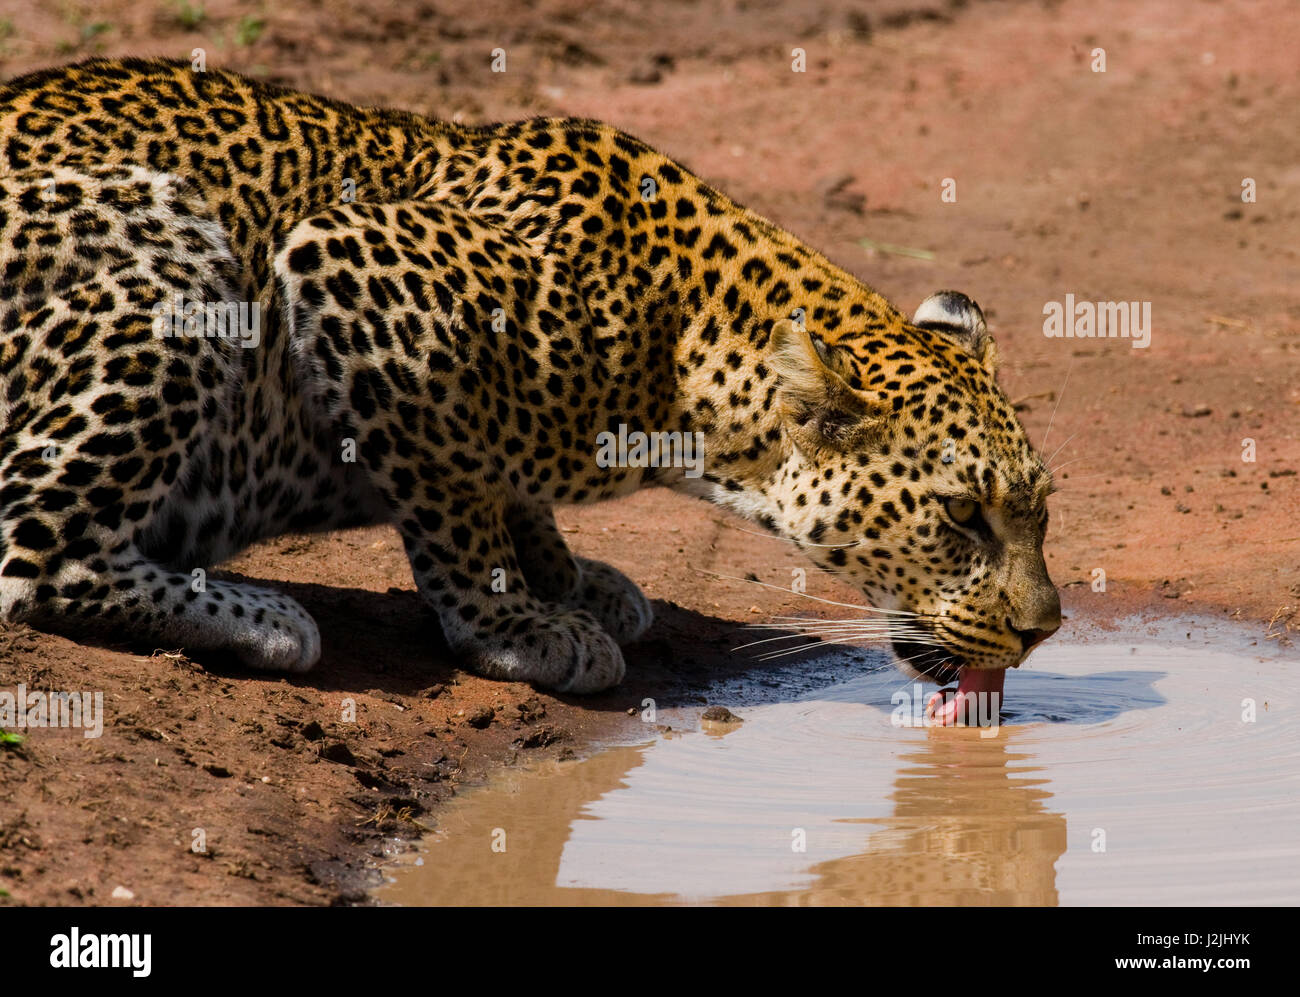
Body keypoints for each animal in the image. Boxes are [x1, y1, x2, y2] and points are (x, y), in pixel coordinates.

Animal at [0, 58, 1055, 701]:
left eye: (1040, 508)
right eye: (963, 515)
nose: (1046, 630)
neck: (683, 354)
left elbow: (512, 490)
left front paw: (570, 576)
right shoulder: (348, 259)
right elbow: (455, 495)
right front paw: (514, 622)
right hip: (178, 261)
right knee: (38, 557)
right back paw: (262, 617)